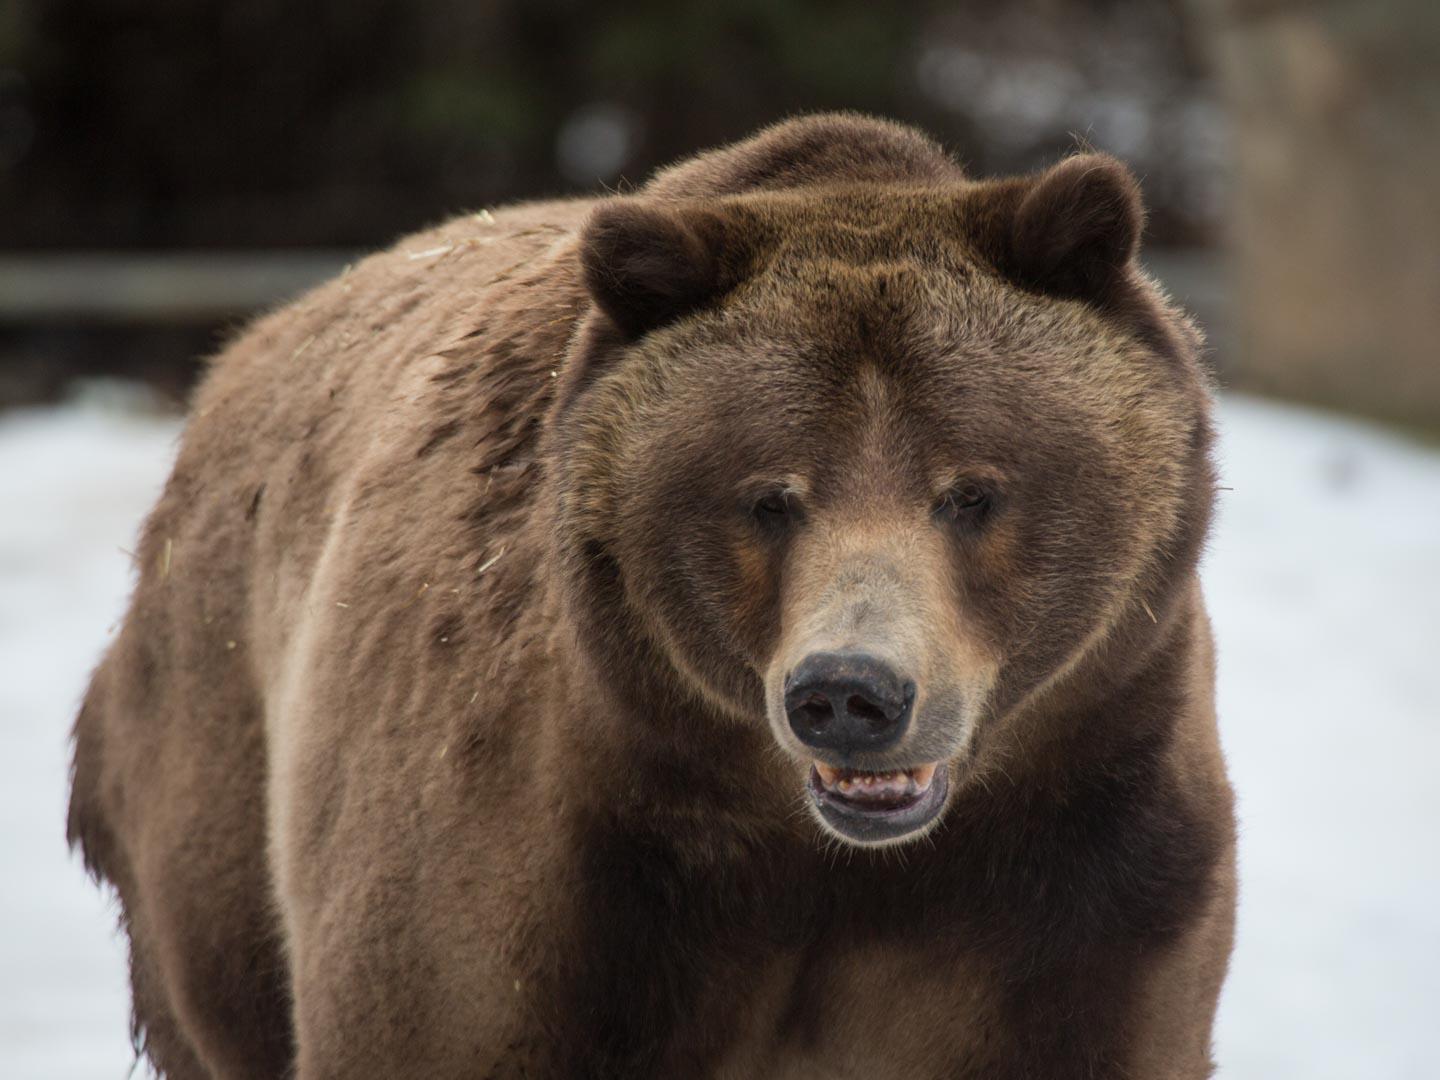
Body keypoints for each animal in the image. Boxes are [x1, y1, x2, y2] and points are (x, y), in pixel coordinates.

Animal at [70, 114, 1238, 1077]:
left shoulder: (1081, 875)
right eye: (770, 497)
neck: (830, 868)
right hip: (213, 768)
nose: (851, 693)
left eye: (970, 491)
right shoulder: (547, 895)